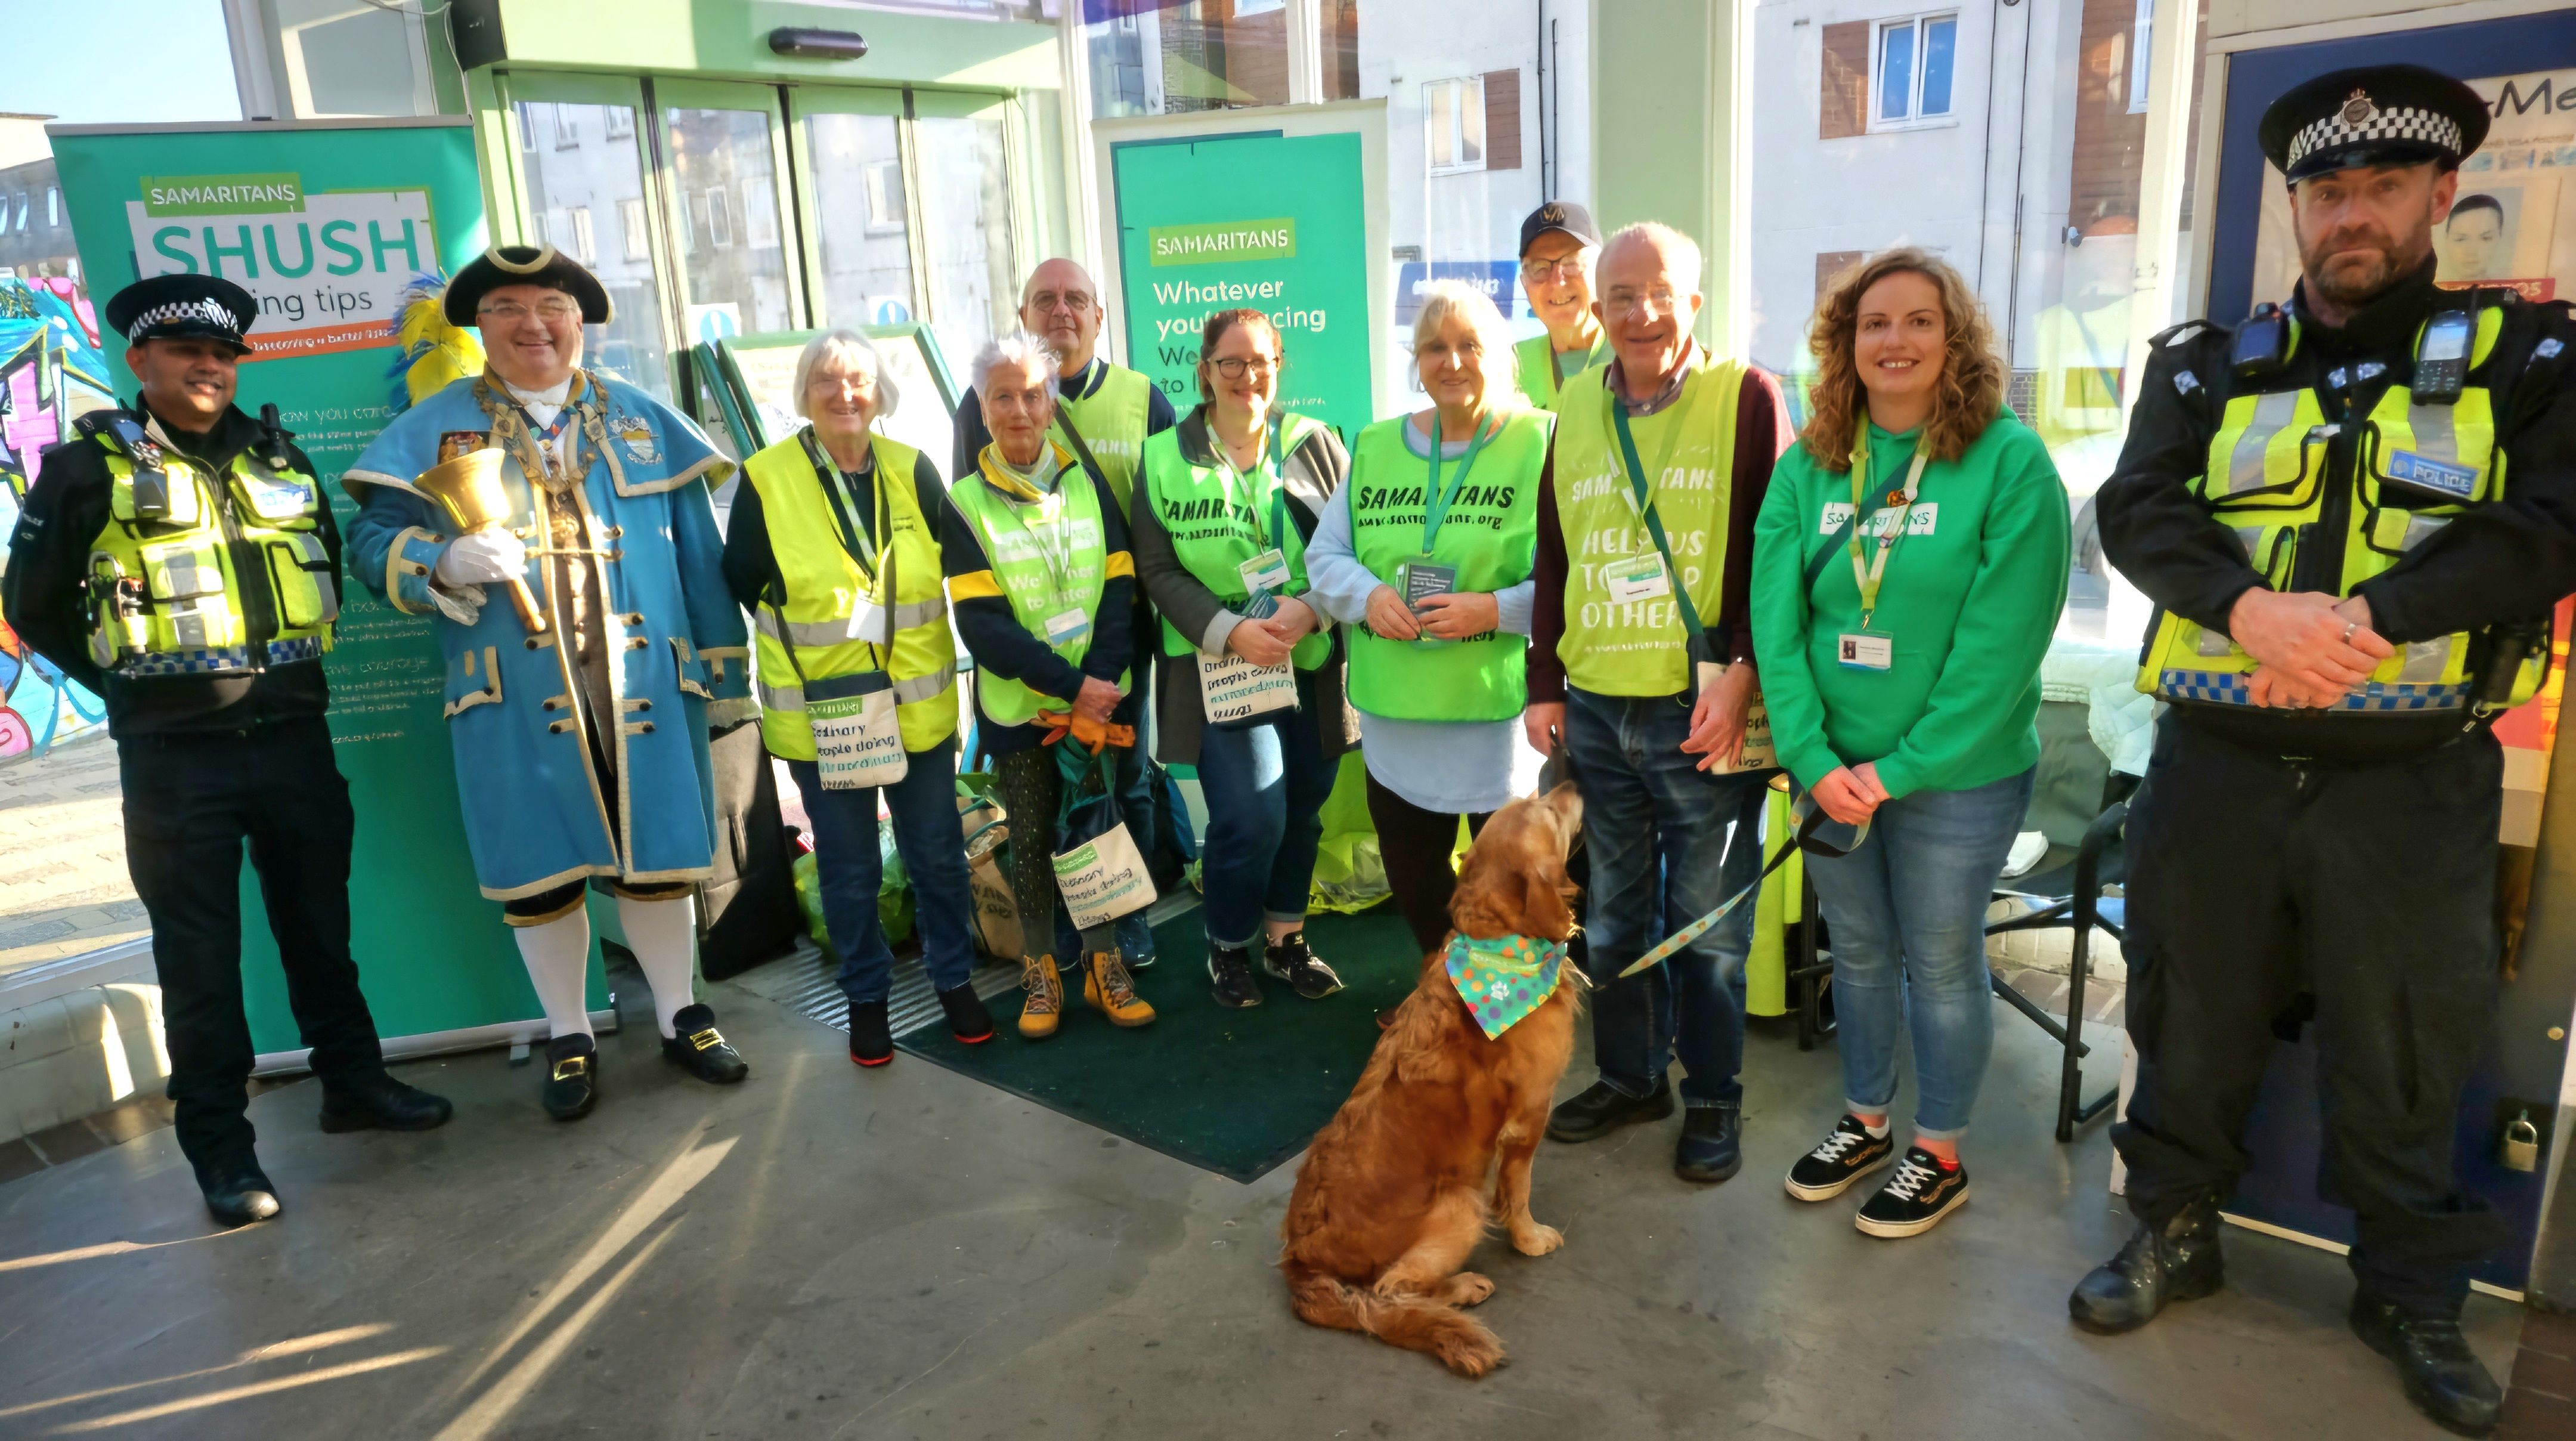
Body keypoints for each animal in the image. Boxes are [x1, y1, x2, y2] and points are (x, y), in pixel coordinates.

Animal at [1277, 783, 1576, 1381]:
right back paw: (1463, 1286)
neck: (1499, 947)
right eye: (1548, 811)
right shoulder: (1530, 1115)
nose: (1570, 783)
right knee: (1390, 1292)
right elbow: (1518, 1191)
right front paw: (1530, 1239)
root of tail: (1300, 1262)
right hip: (1460, 1203)